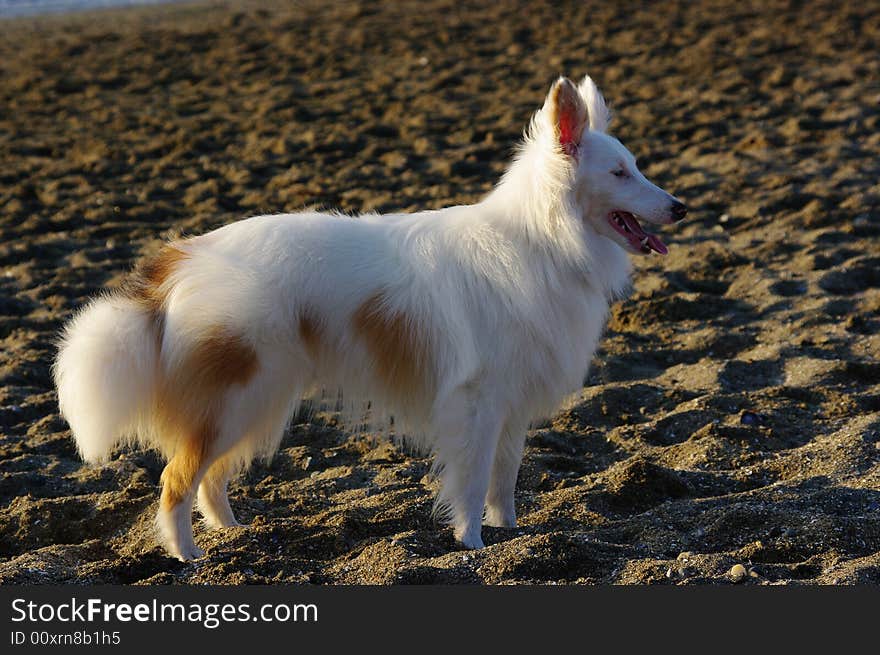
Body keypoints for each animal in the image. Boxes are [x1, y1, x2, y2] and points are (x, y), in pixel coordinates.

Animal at [53, 75, 688, 560]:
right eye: (621, 173)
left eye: (635, 167)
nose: (681, 207)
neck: (541, 241)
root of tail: (180, 261)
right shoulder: (476, 402)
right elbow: (472, 481)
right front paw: (473, 546)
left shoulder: (511, 404)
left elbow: (505, 479)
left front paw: (510, 533)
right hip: (238, 395)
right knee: (175, 482)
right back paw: (188, 557)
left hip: (256, 400)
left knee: (208, 479)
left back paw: (234, 533)